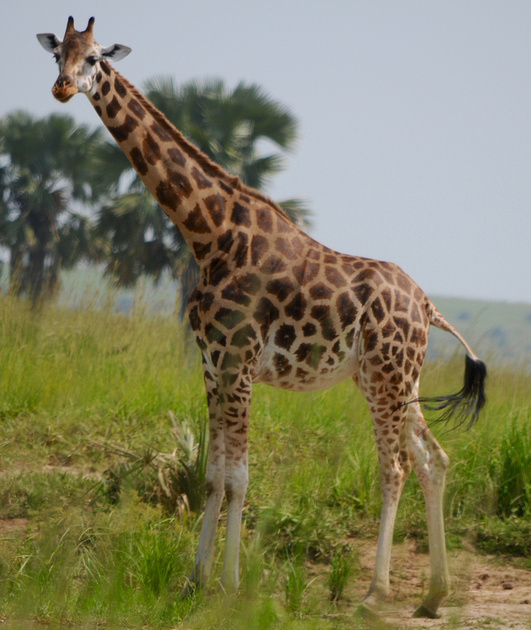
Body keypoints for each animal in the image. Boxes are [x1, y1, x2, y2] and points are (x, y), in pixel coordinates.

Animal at [36, 17, 486, 620]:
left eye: (94, 59)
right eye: (58, 53)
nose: (62, 88)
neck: (209, 233)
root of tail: (428, 306)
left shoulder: (240, 360)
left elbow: (240, 480)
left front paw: (228, 587)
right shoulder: (211, 363)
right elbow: (212, 477)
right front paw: (194, 582)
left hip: (388, 377)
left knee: (396, 467)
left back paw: (375, 595)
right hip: (392, 379)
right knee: (434, 459)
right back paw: (434, 596)